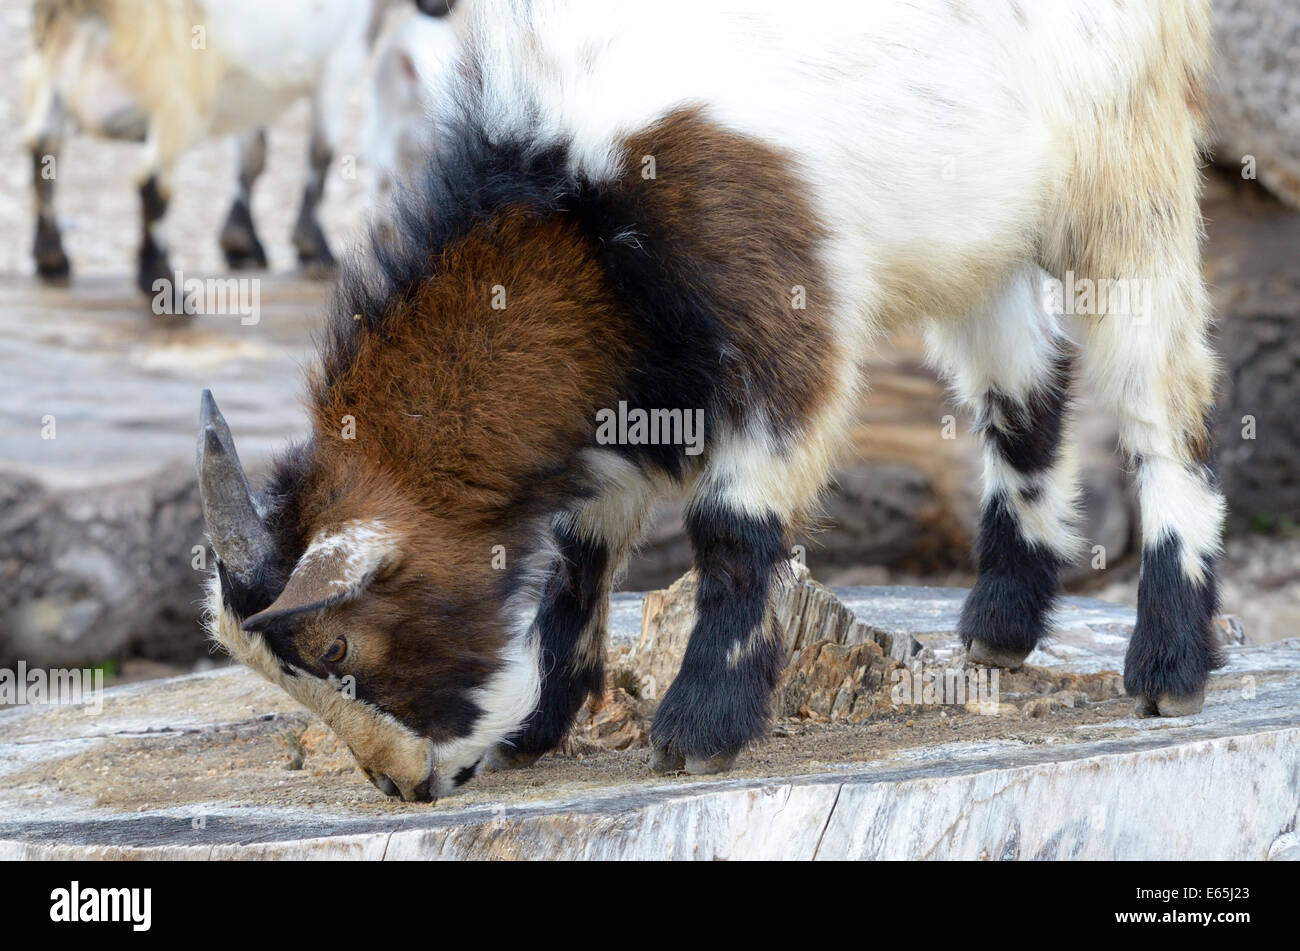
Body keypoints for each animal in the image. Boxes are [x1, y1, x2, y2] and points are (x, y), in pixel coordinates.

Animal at [22, 0, 384, 293]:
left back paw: (52, 257)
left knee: (43, 147)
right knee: (152, 178)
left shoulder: (247, 91)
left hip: (54, 70)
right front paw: (316, 249)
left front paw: (242, 243)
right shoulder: (343, 58)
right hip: (177, 85)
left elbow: (253, 154)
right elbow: (321, 152)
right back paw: (163, 286)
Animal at [197, 0, 1222, 800]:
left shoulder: (781, 319)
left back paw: (1168, 662)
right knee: (1027, 388)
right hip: (978, 232)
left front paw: (700, 727)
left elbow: (732, 524)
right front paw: (539, 720)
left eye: (336, 648)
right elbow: (580, 547)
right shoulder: (629, 374)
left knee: (1162, 399)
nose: (406, 783)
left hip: (1127, 178)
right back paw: (1002, 626)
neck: (580, 204)